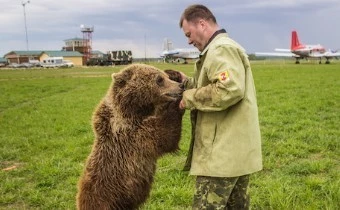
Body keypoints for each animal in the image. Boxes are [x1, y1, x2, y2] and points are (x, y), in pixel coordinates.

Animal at [76, 64, 185, 210]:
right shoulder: (131, 135)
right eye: (159, 80)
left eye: (165, 76)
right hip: (106, 200)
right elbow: (164, 135)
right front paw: (175, 104)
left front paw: (175, 73)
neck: (134, 110)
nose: (180, 86)